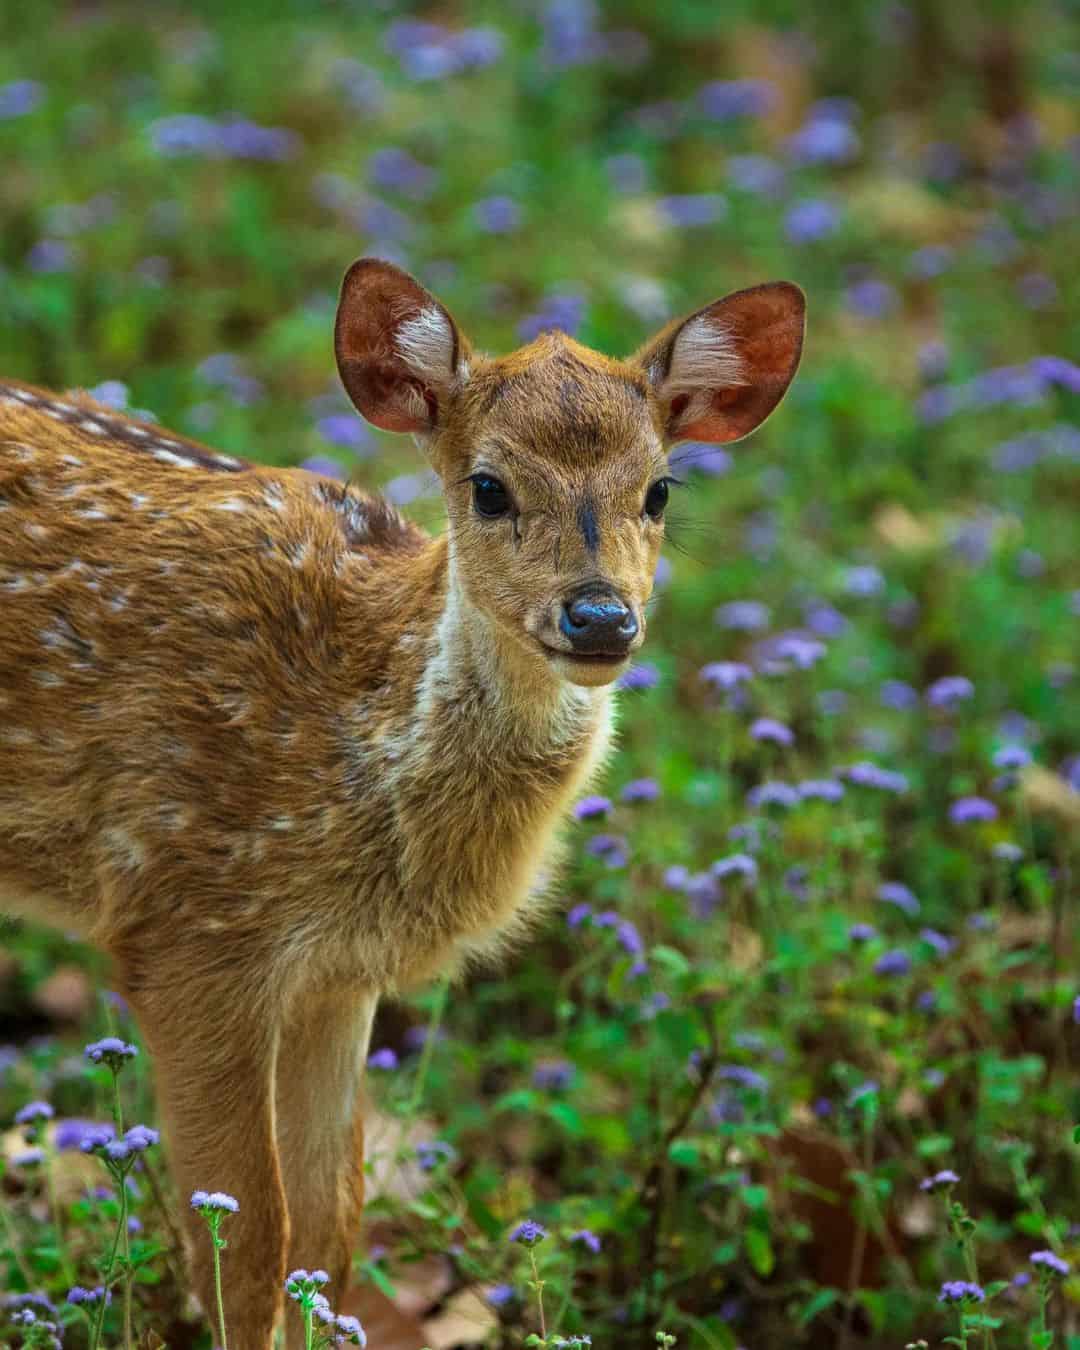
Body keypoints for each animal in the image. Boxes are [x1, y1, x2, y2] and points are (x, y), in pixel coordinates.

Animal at [0, 257, 804, 1346]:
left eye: (659, 489)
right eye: (490, 486)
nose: (600, 617)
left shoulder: (337, 974)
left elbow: (328, 1231)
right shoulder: (185, 923)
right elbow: (244, 1244)